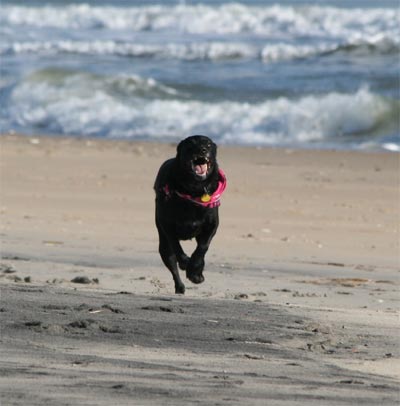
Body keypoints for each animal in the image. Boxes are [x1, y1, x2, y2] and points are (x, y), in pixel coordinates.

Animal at [155, 135, 227, 294]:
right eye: (190, 144)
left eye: (208, 144)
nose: (202, 150)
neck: (194, 191)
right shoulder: (167, 225)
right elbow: (176, 246)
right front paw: (185, 262)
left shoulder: (211, 225)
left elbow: (203, 247)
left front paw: (195, 271)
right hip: (163, 243)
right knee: (171, 262)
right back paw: (180, 286)